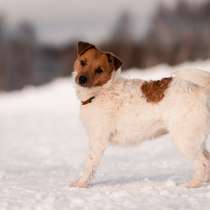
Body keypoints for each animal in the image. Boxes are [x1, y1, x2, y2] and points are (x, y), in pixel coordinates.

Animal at [71, 41, 210, 189]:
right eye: (83, 62)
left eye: (99, 70)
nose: (82, 79)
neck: (100, 92)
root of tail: (200, 91)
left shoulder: (98, 140)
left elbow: (89, 164)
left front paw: (80, 184)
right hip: (196, 140)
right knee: (207, 158)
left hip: (185, 140)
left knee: (203, 163)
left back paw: (192, 184)